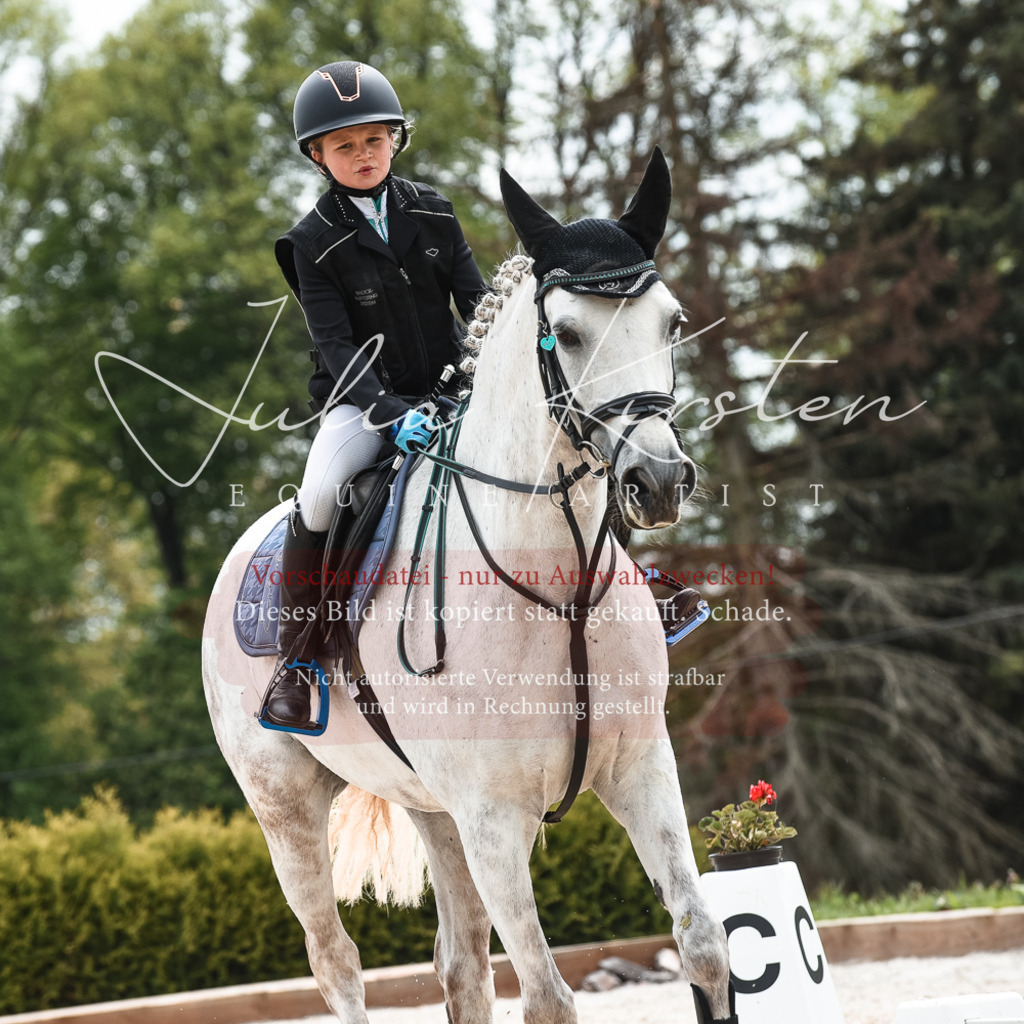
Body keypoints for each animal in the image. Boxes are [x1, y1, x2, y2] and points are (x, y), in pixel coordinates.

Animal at [203, 149, 736, 1024]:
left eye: (672, 321)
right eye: (569, 333)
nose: (657, 481)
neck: (557, 591)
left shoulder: (641, 772)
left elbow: (704, 948)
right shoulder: (494, 820)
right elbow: (549, 998)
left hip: (434, 809)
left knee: (461, 966)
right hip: (286, 807)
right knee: (335, 962)